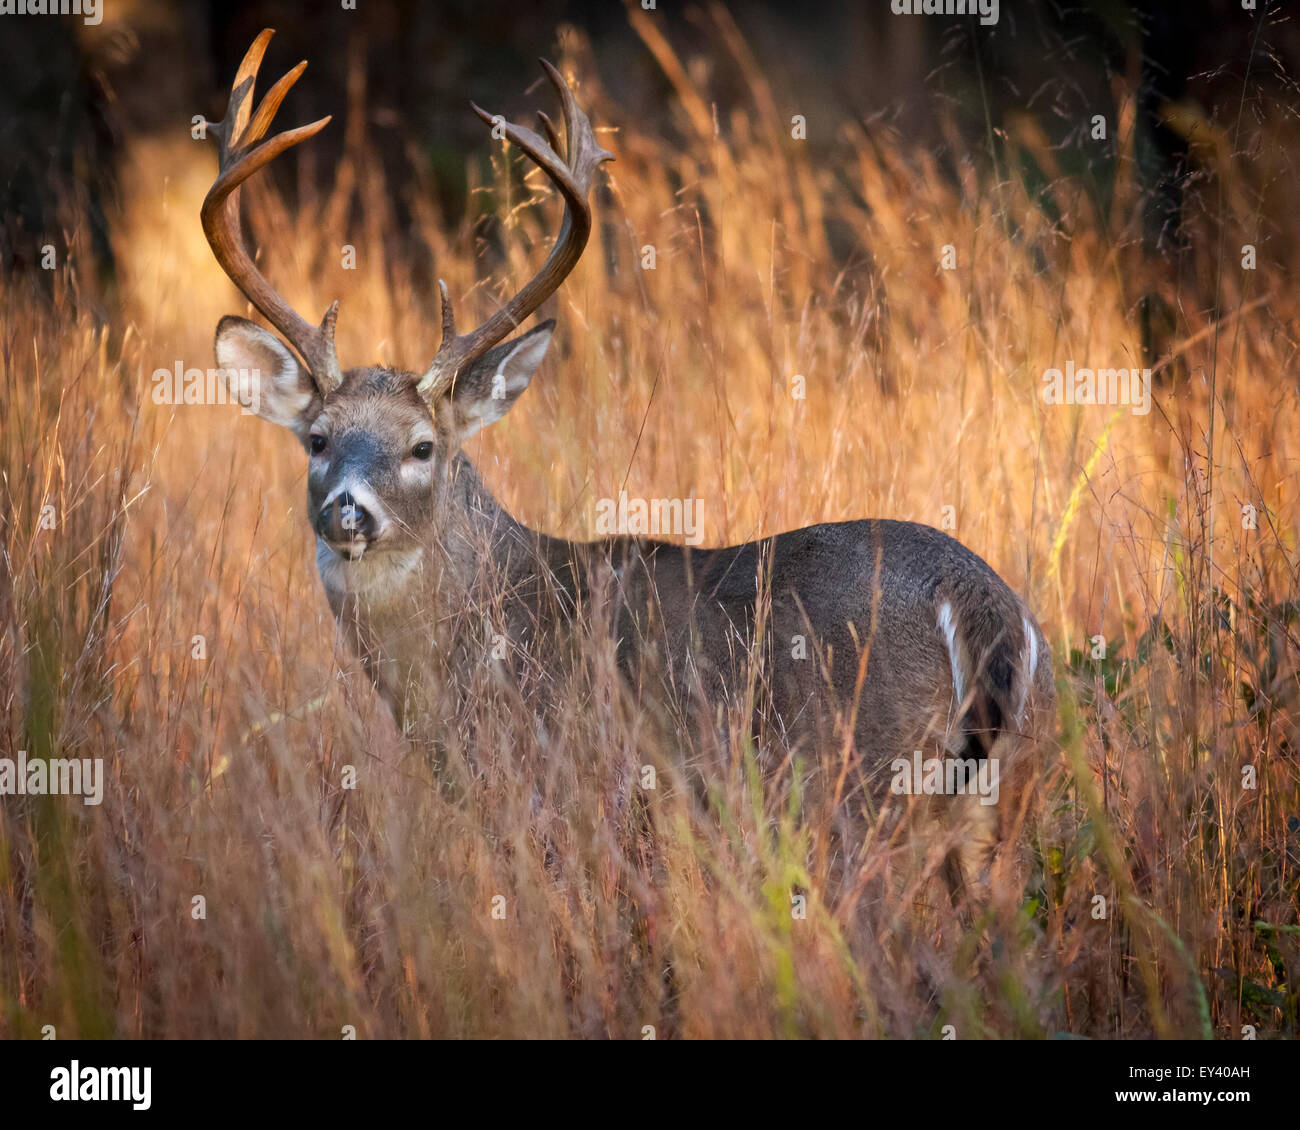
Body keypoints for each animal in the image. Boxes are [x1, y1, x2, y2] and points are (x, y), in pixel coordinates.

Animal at [202, 32, 1055, 889]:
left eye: (422, 447)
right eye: (317, 439)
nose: (348, 509)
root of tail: (979, 600)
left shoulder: (556, 788)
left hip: (862, 781)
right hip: (1000, 799)